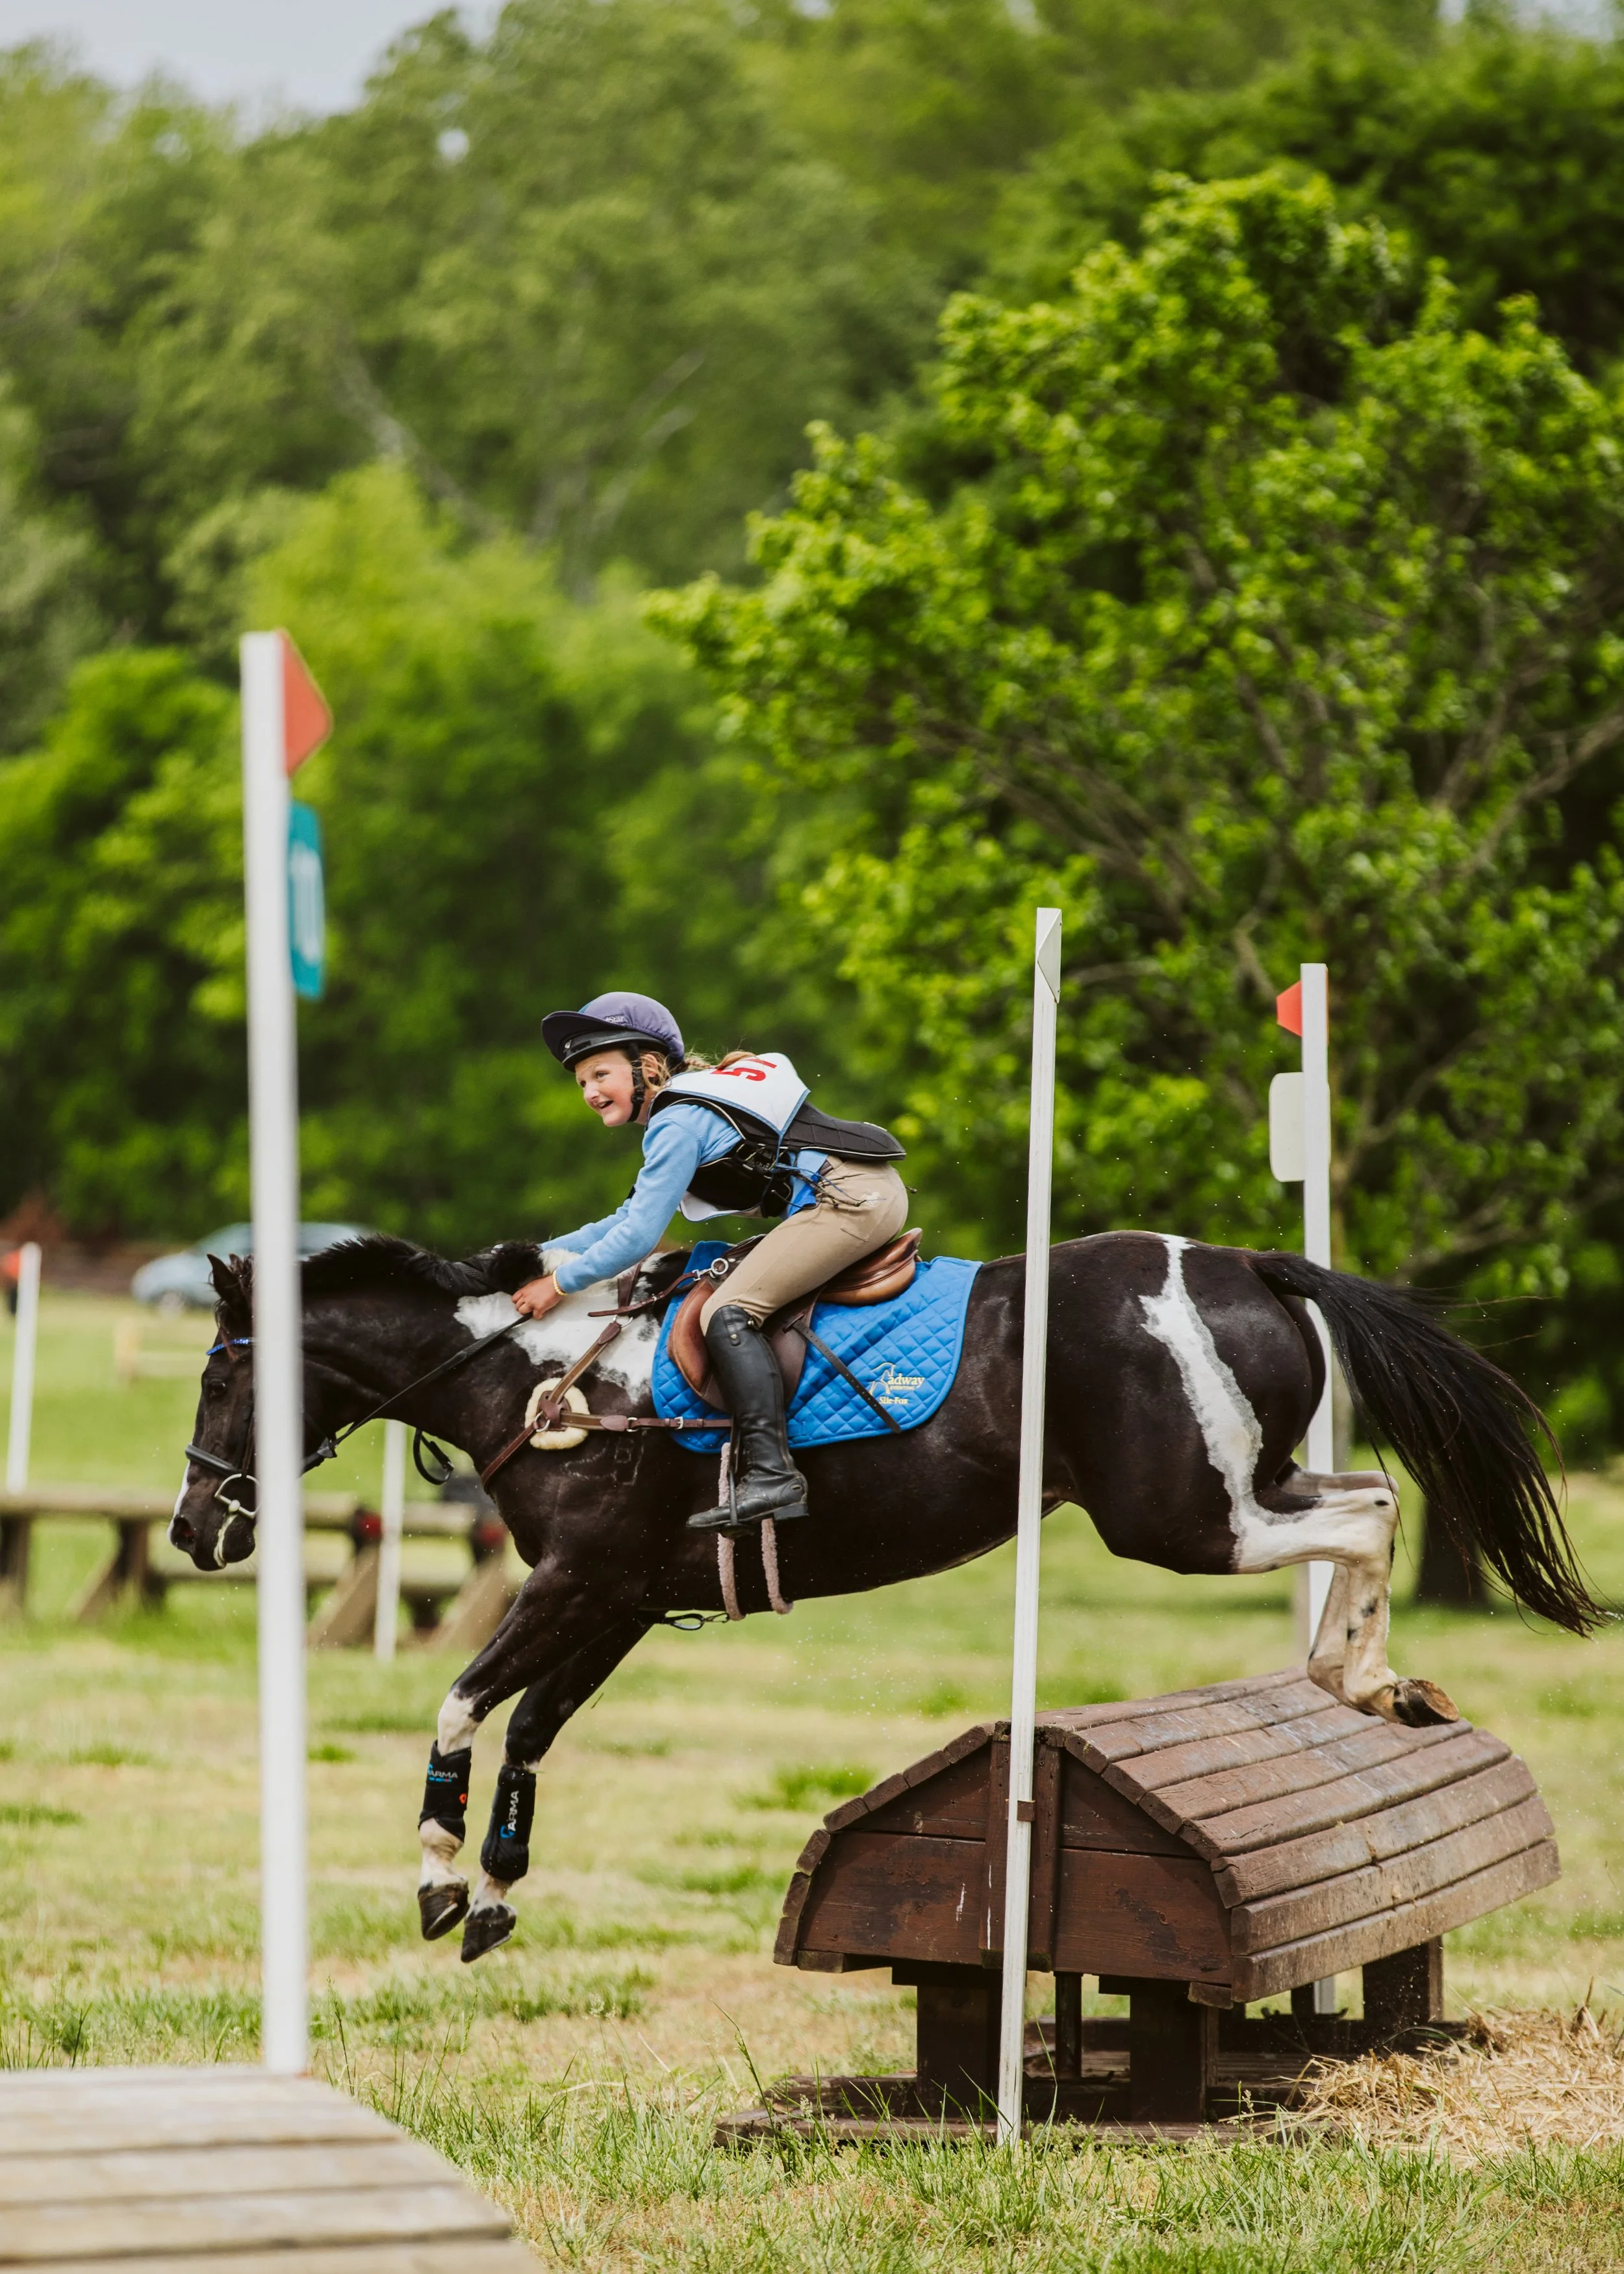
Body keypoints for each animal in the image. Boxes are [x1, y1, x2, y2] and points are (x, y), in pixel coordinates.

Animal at [169, 1230, 1596, 1962]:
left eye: (220, 1377)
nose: (192, 1529)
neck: (534, 1375)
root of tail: (1249, 1262)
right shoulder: (619, 1594)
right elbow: (527, 1728)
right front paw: (497, 1890)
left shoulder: (575, 1577)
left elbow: (462, 1707)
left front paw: (435, 1880)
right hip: (1238, 1480)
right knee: (1368, 1492)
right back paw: (1377, 1684)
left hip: (1181, 1515)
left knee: (1367, 1511)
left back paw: (1353, 1677)